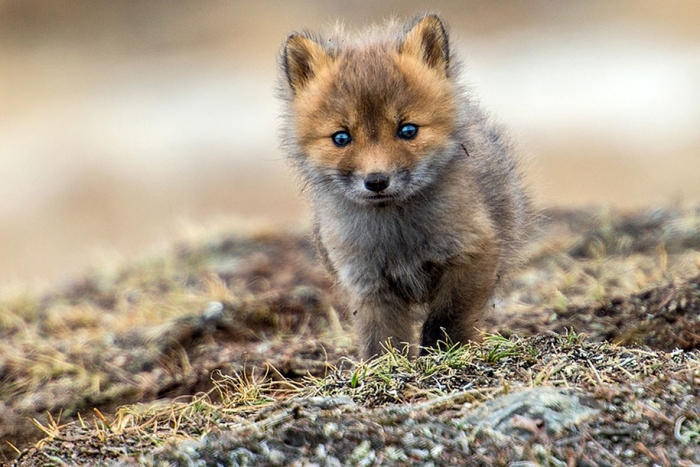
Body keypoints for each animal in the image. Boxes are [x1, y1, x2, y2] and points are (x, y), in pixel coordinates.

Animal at [278, 13, 534, 359]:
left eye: (408, 130)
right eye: (341, 138)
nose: (376, 181)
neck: (397, 236)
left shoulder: (473, 252)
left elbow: (447, 318)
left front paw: (446, 352)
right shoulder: (366, 281)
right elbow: (382, 339)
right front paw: (384, 365)